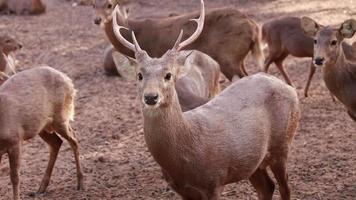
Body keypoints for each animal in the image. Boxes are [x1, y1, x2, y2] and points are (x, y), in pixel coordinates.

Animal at [0, 66, 84, 199]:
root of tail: (69, 81)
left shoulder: (15, 140)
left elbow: (14, 177)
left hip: (60, 117)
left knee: (73, 139)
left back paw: (80, 183)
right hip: (42, 127)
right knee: (57, 142)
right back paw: (41, 188)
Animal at [93, 0, 262, 80]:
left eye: (109, 5)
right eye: (93, 5)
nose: (97, 19)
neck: (131, 29)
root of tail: (253, 26)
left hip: (227, 56)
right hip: (238, 58)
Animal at [112, 0, 300, 198]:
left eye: (168, 75)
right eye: (139, 75)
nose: (151, 97)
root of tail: (289, 89)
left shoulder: (214, 180)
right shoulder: (180, 189)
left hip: (282, 144)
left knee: (285, 186)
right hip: (253, 162)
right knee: (266, 187)